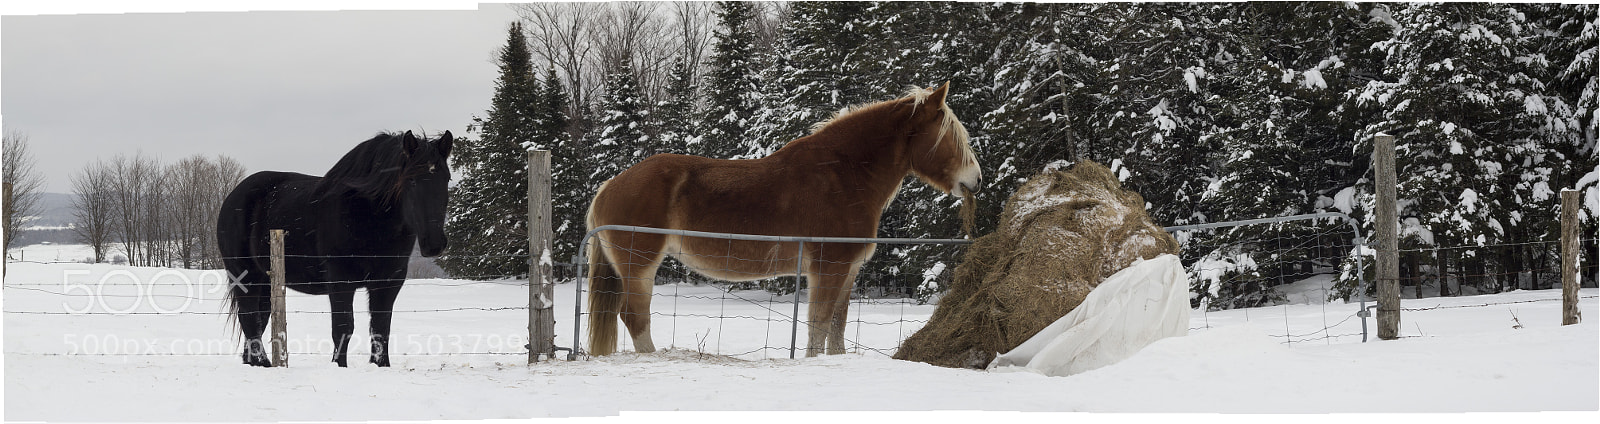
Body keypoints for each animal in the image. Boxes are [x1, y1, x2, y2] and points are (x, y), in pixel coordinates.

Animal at [217, 130, 453, 367]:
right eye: (410, 180)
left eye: (447, 179)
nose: (434, 243)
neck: (367, 216)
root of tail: (232, 197)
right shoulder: (340, 281)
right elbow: (343, 328)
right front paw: (339, 365)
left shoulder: (388, 283)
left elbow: (381, 328)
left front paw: (381, 365)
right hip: (245, 275)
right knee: (249, 317)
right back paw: (262, 362)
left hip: (266, 280)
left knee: (259, 317)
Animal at [585, 82, 981, 357]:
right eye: (950, 136)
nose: (976, 179)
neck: (842, 175)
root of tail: (608, 187)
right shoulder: (828, 268)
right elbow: (818, 326)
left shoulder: (848, 271)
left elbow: (836, 329)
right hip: (640, 266)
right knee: (635, 317)